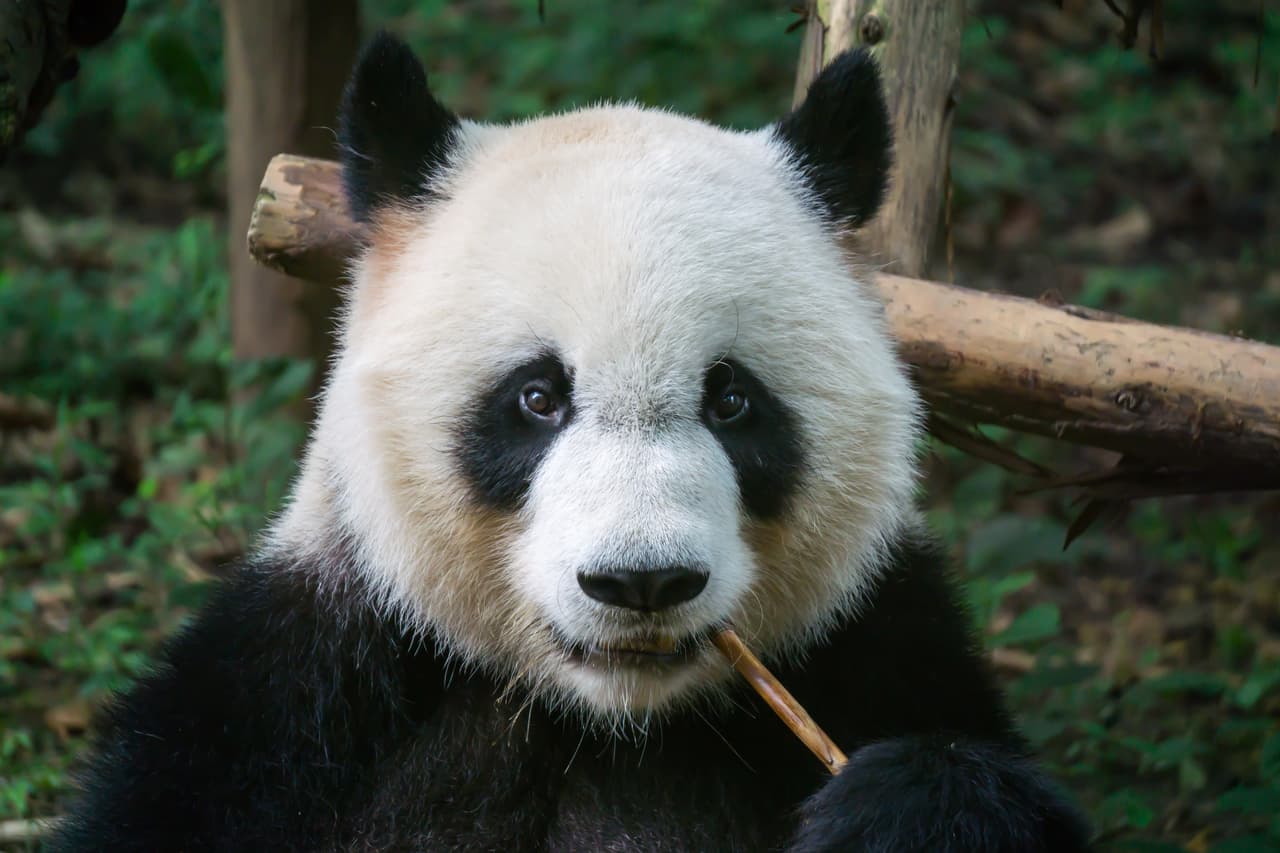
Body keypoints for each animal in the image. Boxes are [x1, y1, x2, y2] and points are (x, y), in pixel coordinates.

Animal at [53, 33, 1090, 853]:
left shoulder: (875, 642)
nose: (642, 582)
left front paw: (897, 806)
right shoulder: (305, 691)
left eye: (731, 400)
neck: (607, 720)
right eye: (538, 396)